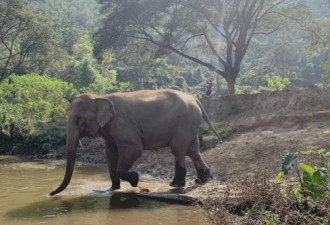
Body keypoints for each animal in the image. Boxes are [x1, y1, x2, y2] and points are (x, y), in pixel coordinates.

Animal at [49, 89, 222, 196]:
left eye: (78, 119)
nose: (50, 193)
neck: (100, 96)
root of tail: (195, 99)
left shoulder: (122, 123)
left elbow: (133, 149)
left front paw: (135, 179)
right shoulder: (110, 129)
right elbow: (110, 152)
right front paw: (112, 189)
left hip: (184, 124)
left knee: (178, 149)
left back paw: (175, 185)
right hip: (190, 125)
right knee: (192, 151)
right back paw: (203, 179)